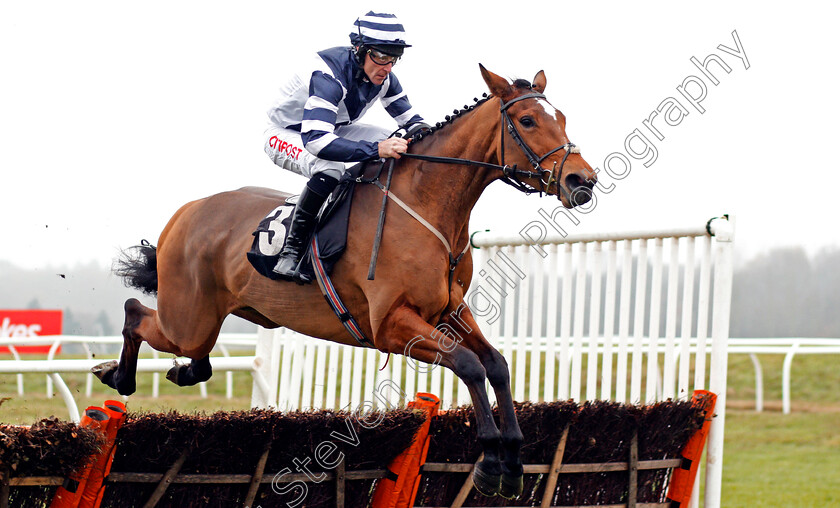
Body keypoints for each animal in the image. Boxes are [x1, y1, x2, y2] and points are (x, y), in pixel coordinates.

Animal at [95, 64, 596, 500]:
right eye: (527, 120)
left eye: (562, 118)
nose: (582, 180)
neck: (426, 207)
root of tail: (186, 212)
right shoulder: (391, 326)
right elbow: (470, 365)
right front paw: (491, 464)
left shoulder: (449, 312)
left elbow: (496, 365)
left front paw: (512, 464)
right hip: (189, 319)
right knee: (136, 313)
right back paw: (116, 374)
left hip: (218, 316)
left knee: (191, 354)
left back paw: (175, 371)